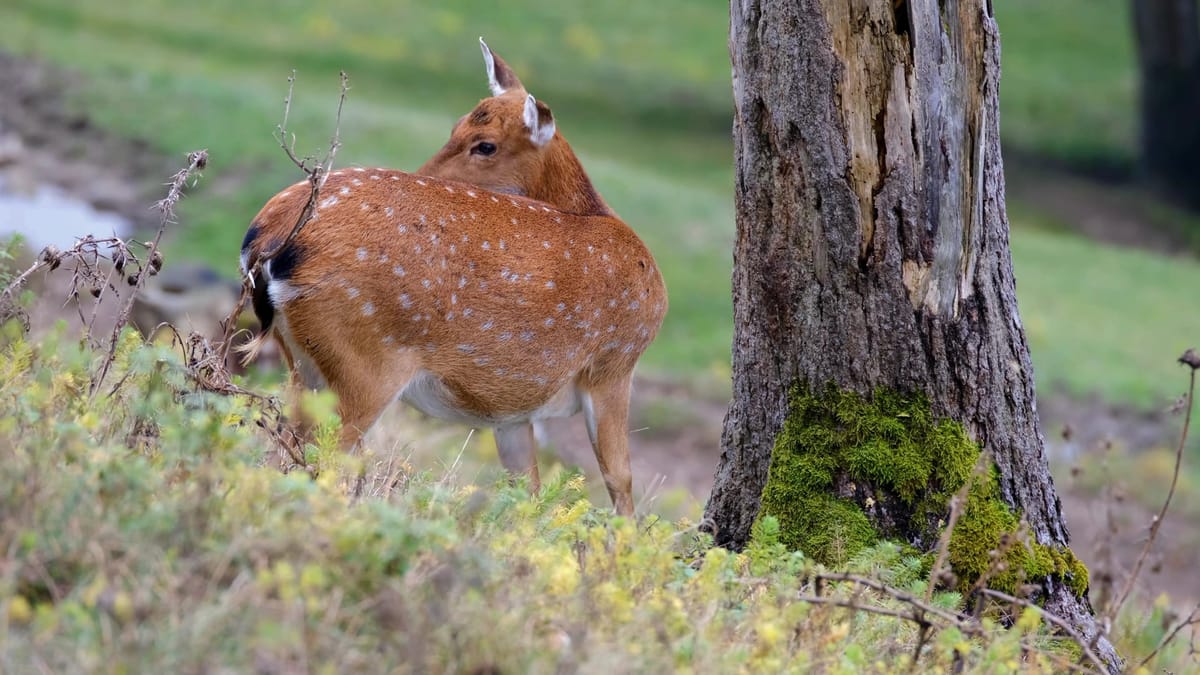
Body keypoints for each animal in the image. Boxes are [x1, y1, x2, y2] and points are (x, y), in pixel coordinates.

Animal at [239, 39, 667, 516]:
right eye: (455, 127)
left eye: (484, 144)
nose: (422, 172)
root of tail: (266, 240)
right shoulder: (614, 362)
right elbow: (620, 480)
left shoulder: (513, 409)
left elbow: (526, 490)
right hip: (365, 362)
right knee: (322, 461)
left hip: (304, 365)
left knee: (280, 454)